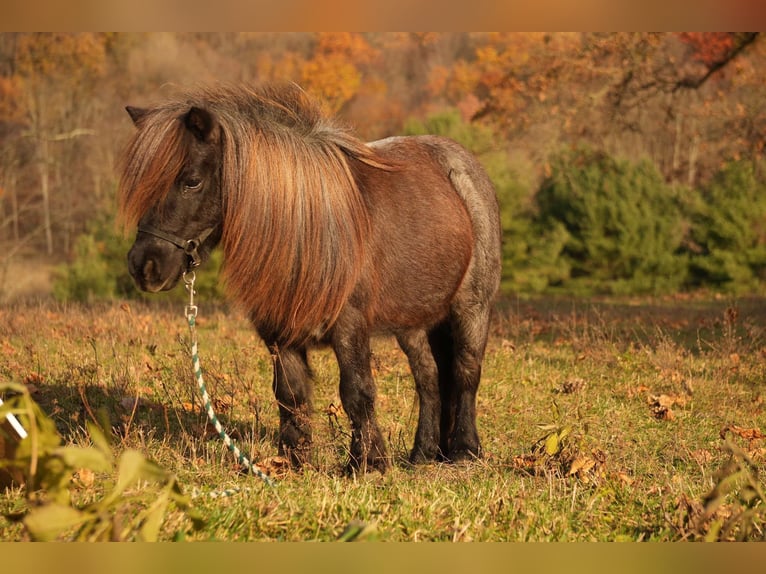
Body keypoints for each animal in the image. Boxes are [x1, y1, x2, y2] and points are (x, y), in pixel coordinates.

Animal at [118, 84, 504, 472]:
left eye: (192, 181)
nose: (144, 266)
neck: (306, 228)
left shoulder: (349, 325)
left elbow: (356, 391)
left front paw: (366, 463)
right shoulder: (278, 331)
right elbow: (290, 393)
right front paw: (291, 461)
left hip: (472, 308)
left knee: (465, 372)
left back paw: (463, 450)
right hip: (414, 323)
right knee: (428, 377)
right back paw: (423, 453)